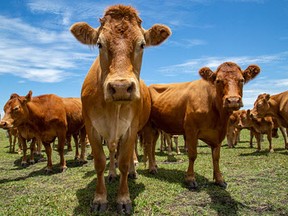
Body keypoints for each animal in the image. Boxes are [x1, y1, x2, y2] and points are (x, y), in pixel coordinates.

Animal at [70, 4, 171, 213]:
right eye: (99, 44)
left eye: (142, 44)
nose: (121, 87)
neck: (112, 109)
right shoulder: (91, 127)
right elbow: (100, 161)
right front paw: (100, 198)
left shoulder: (131, 128)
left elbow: (124, 161)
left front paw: (124, 199)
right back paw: (111, 174)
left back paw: (133, 171)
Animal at [141, 61, 260, 189]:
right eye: (218, 81)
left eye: (242, 80)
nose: (233, 100)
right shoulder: (191, 130)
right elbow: (192, 155)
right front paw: (190, 179)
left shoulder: (219, 133)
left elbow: (216, 157)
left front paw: (219, 179)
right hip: (148, 125)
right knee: (148, 145)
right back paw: (152, 168)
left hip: (156, 127)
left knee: (153, 145)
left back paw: (154, 165)